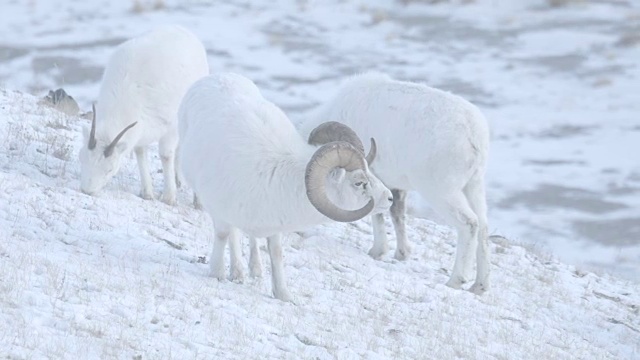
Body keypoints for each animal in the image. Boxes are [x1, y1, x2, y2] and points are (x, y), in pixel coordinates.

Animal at [77, 24, 208, 205]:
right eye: (82, 158)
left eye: (109, 169)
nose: (87, 191)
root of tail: (186, 33)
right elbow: (140, 154)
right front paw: (147, 193)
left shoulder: (170, 129)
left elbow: (166, 156)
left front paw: (169, 198)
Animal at [178, 73, 392, 300]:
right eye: (359, 182)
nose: (389, 198)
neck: (277, 174)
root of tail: (217, 77)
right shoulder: (220, 214)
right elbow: (224, 236)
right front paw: (217, 274)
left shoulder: (273, 227)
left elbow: (276, 253)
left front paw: (283, 294)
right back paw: (237, 272)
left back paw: (253, 270)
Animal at [300, 71, 490, 294]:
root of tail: (473, 133)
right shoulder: (397, 187)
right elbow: (397, 214)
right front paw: (401, 254)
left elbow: (376, 213)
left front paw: (377, 252)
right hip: (474, 188)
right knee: (484, 227)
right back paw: (479, 286)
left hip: (442, 193)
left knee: (469, 224)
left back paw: (455, 281)